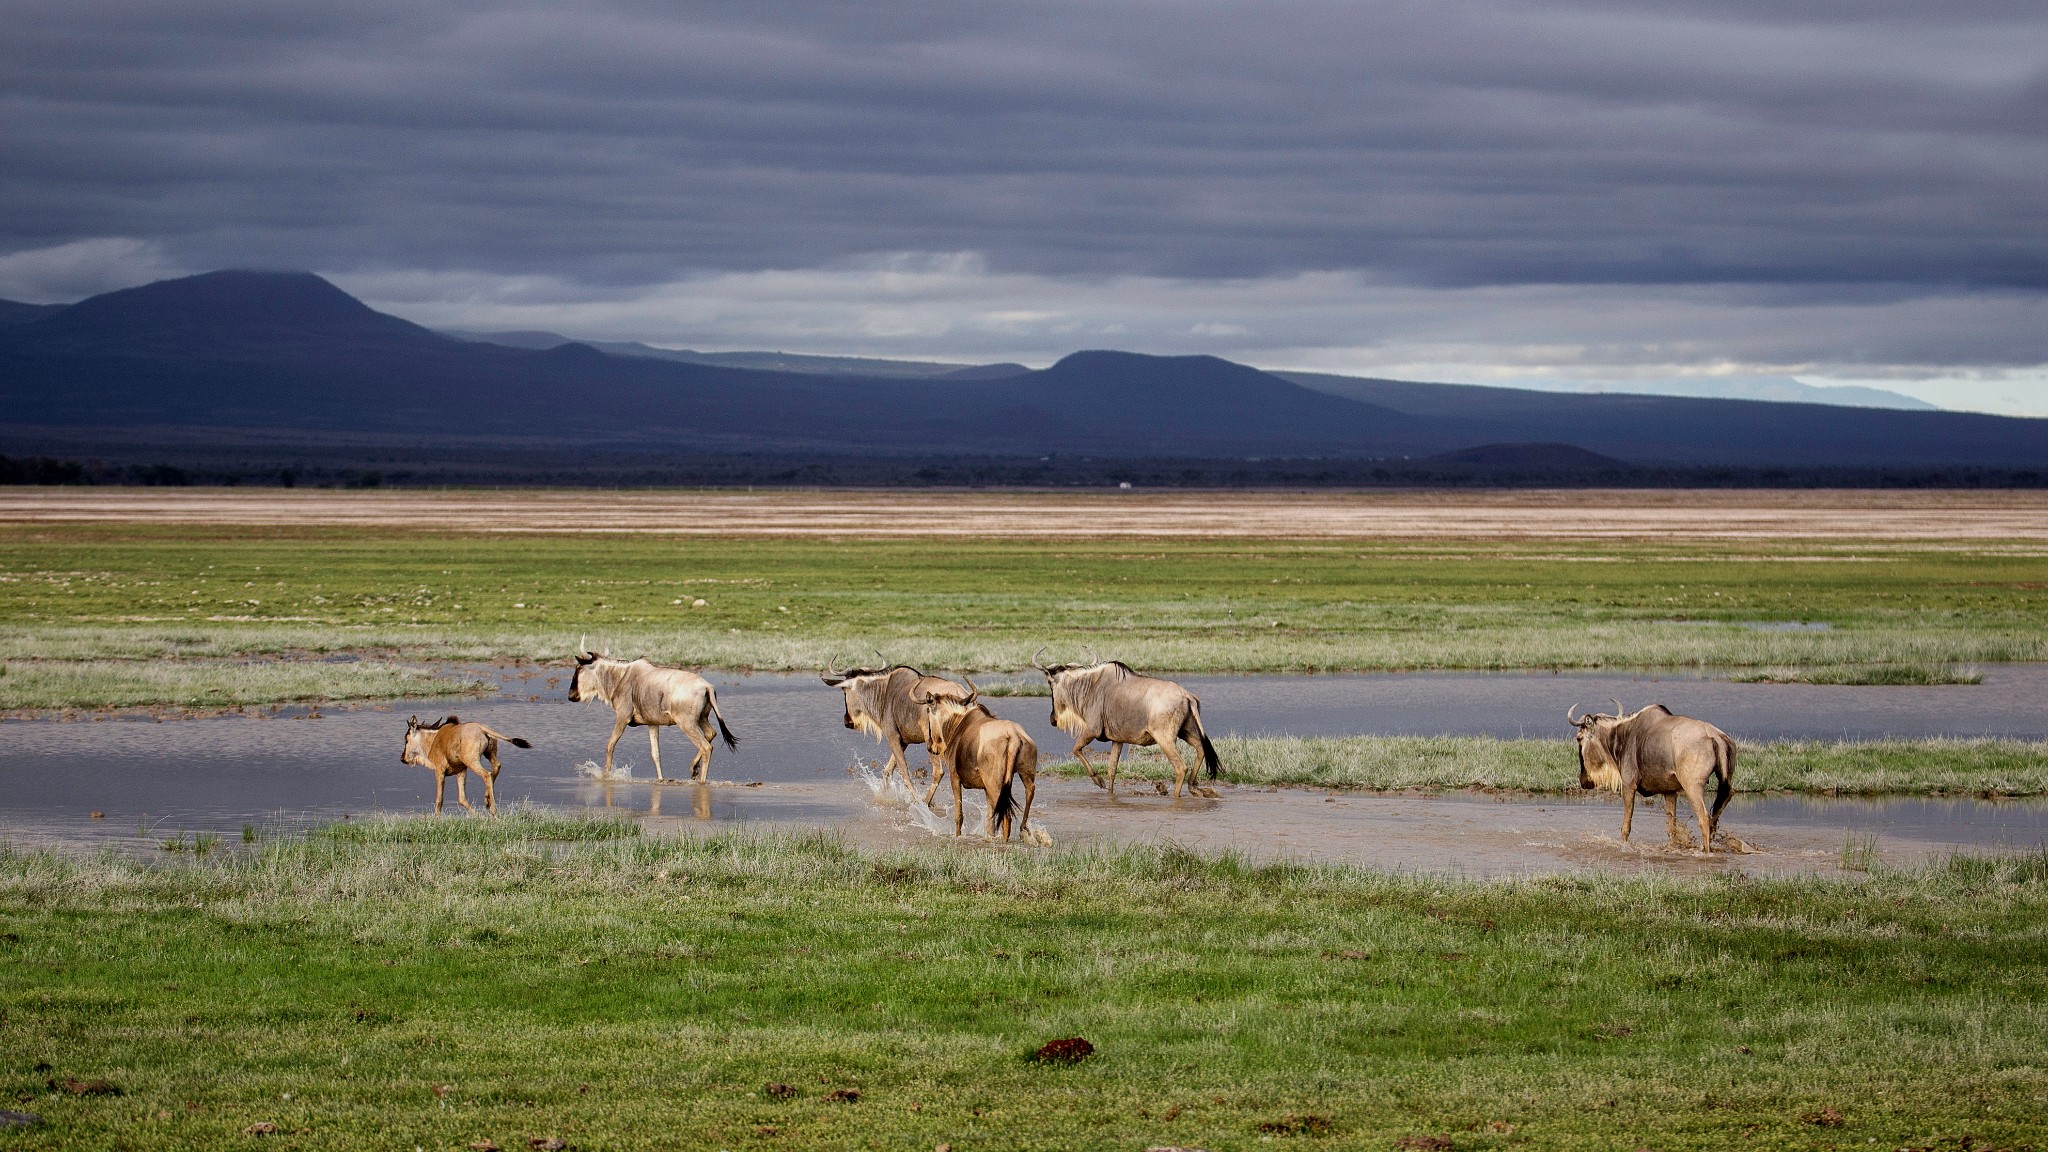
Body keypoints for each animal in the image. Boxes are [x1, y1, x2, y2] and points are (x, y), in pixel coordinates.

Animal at [395, 713, 532, 811]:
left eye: (406, 739)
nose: (402, 758)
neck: (433, 739)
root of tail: (481, 727)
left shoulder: (439, 771)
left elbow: (439, 800)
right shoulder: (461, 771)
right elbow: (462, 798)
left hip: (472, 761)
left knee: (486, 775)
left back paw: (494, 812)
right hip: (489, 754)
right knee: (497, 766)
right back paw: (487, 800)